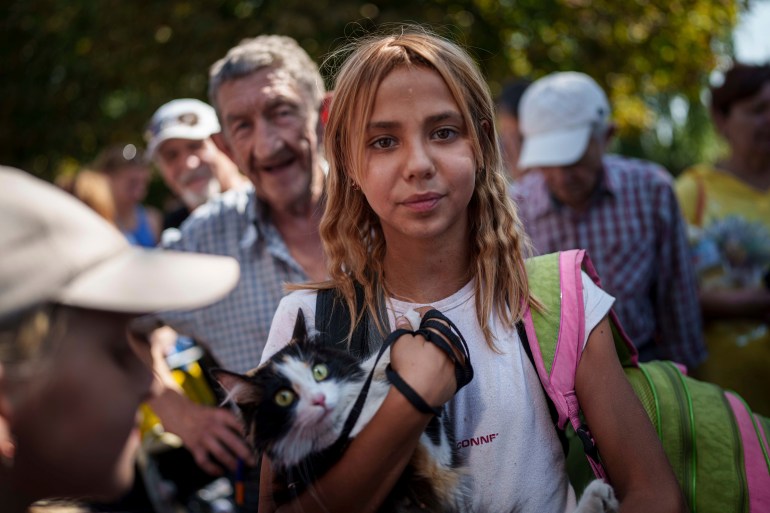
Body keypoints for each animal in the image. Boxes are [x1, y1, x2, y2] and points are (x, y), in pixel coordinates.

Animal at [212, 308, 616, 512]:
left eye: (319, 371)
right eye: (283, 399)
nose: (318, 400)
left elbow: (375, 363)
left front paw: (409, 325)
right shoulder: (429, 468)